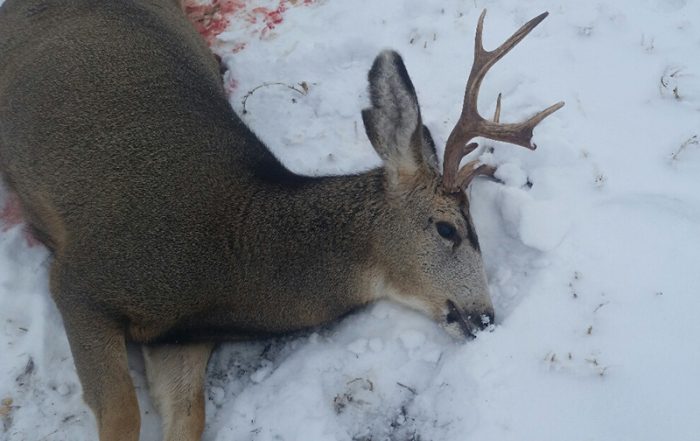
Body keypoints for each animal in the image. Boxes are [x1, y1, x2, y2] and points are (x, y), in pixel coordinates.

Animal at [0, 0, 563, 439]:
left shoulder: (181, 340)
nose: (485, 318)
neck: (233, 257)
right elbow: (120, 415)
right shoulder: (81, 278)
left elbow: (189, 418)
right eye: (447, 228)